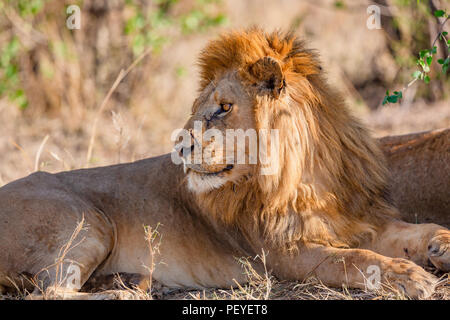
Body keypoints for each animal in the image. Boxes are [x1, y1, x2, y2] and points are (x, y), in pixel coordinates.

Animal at [0, 28, 450, 298]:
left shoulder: (360, 220)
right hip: (88, 223)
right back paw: (124, 292)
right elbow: (355, 259)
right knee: (50, 292)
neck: (305, 178)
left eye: (223, 108)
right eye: (197, 109)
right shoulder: (284, 254)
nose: (179, 147)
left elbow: (418, 229)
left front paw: (440, 247)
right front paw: (411, 277)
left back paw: (132, 280)